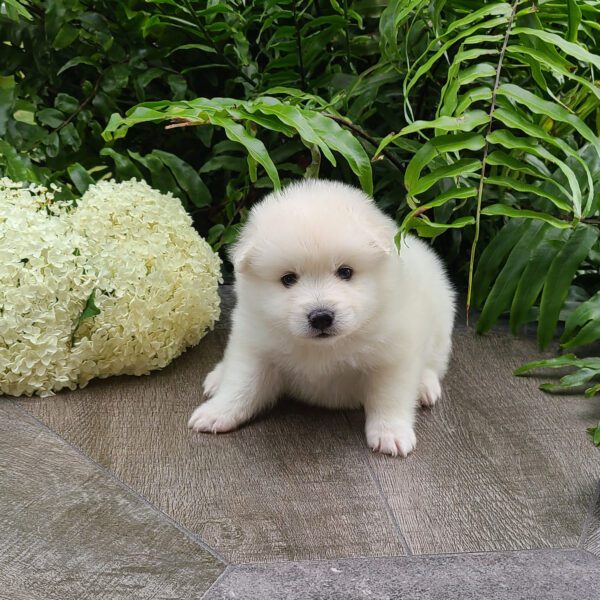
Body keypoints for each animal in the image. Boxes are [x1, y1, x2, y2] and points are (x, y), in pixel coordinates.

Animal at [188, 180, 454, 458]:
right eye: (288, 279)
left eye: (345, 272)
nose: (321, 317)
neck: (324, 348)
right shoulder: (255, 346)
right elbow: (240, 385)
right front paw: (216, 413)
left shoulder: (392, 356)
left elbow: (389, 397)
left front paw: (390, 433)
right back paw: (218, 376)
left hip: (441, 323)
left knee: (434, 363)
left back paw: (425, 386)